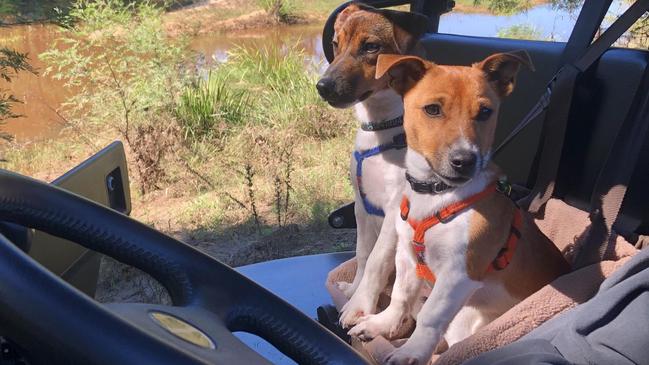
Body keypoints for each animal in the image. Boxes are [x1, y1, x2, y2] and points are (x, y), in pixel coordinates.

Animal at [316, 2, 430, 328]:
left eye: (371, 47)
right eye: (335, 44)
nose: (322, 87)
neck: (383, 128)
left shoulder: (395, 213)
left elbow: (376, 262)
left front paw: (359, 305)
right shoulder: (361, 206)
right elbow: (363, 254)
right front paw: (353, 291)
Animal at [350, 52, 568, 364]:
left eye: (486, 112)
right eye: (432, 109)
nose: (465, 161)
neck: (437, 196)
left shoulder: (458, 275)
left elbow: (430, 316)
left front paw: (411, 351)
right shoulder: (407, 257)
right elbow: (401, 296)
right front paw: (382, 324)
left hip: (467, 319)